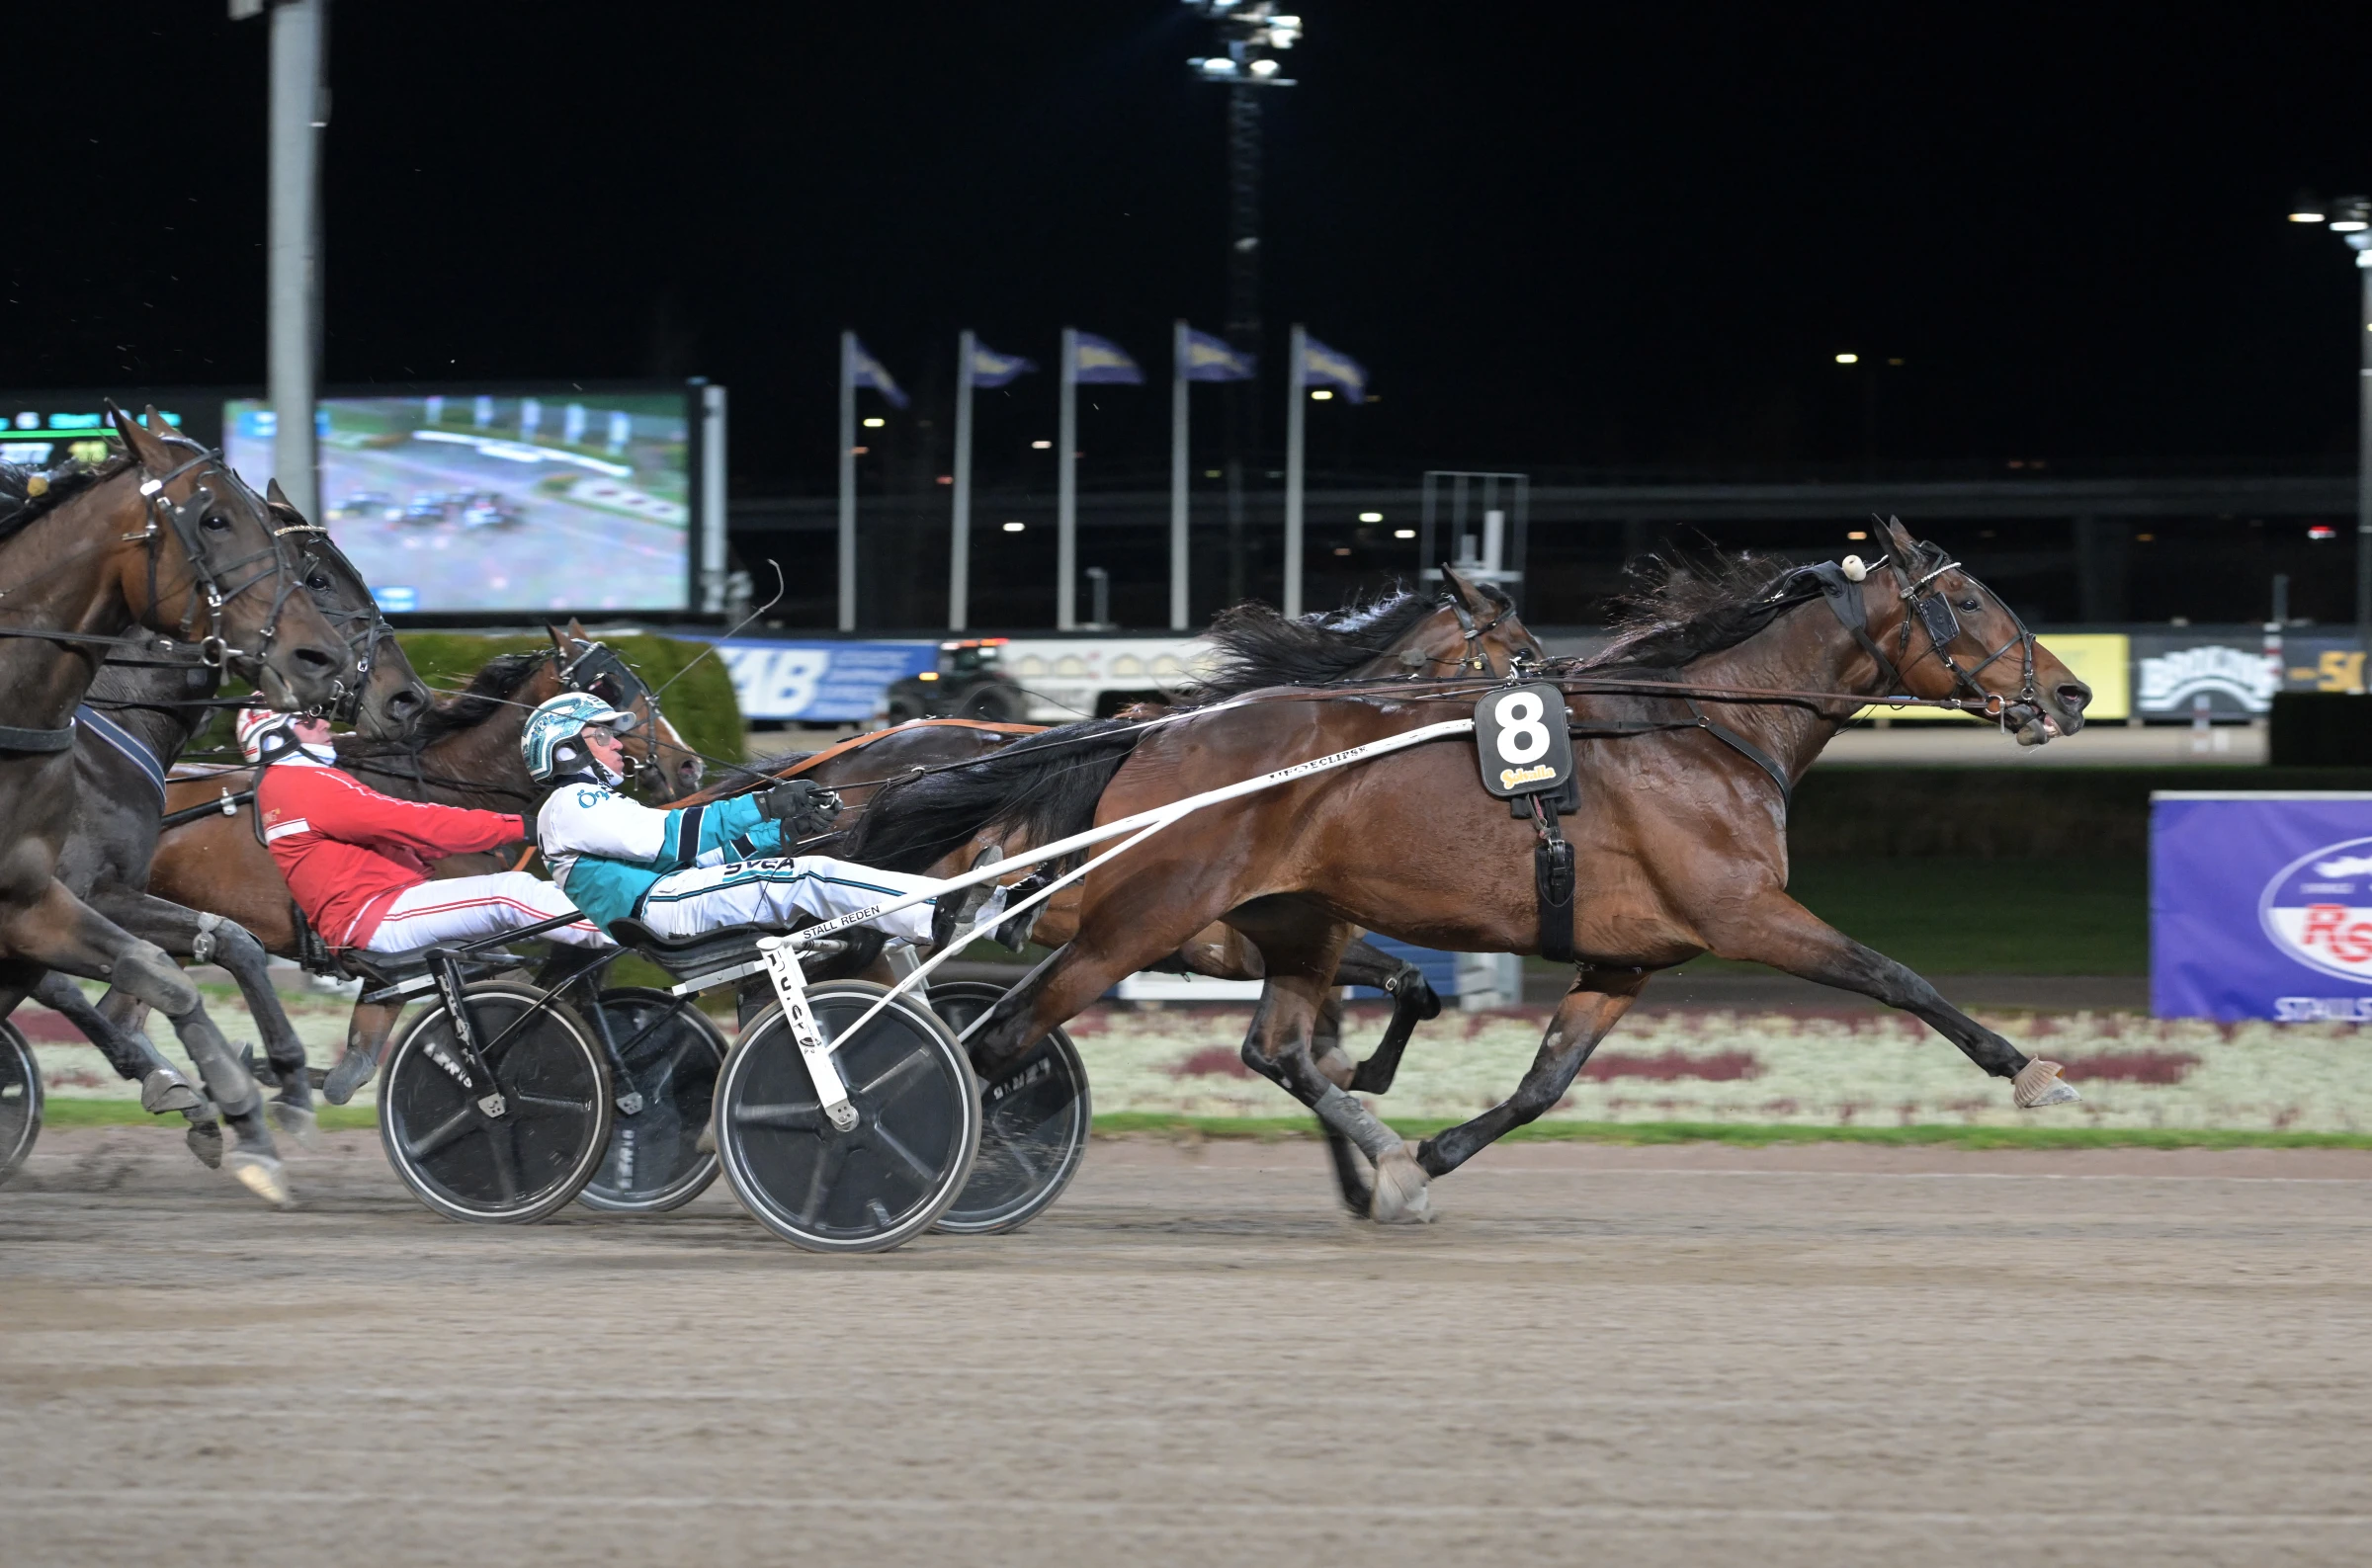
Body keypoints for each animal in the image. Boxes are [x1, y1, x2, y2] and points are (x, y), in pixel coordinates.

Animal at [0, 403, 356, 1199]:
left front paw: (263, 1095)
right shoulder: (74, 891)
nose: (323, 659)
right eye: (215, 519)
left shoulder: (46, 899)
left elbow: (204, 951)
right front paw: (210, 1094)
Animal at [149, 630, 692, 1096]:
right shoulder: (446, 944)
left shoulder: (389, 971)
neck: (442, 783)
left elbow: (354, 1069)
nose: (687, 765)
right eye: (606, 684)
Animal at [854, 527, 2096, 1223]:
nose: (2073, 693)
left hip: (1287, 922)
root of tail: (1151, 735)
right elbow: (1898, 977)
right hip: (1141, 921)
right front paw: (2035, 1073)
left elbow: (1544, 1084)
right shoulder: (1746, 912)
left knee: (1267, 1046)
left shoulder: (1627, 956)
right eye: (1971, 600)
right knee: (996, 1038)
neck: (1703, 728)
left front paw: (1424, 1158)